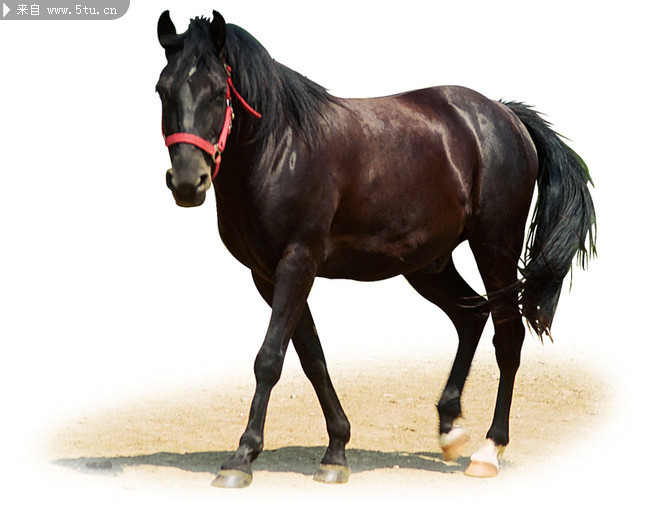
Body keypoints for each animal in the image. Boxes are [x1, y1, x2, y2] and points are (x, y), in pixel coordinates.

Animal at [156, 10, 596, 488]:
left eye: (219, 92)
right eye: (162, 88)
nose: (188, 181)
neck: (281, 148)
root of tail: (505, 115)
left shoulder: (297, 263)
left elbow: (270, 358)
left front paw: (241, 457)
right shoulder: (269, 275)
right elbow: (312, 358)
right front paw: (336, 451)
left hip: (495, 248)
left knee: (507, 334)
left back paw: (487, 450)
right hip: (427, 264)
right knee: (470, 317)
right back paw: (449, 428)